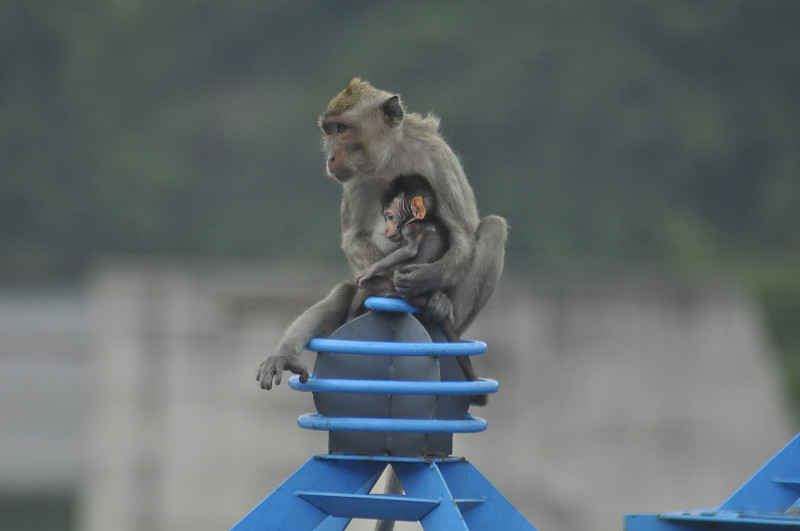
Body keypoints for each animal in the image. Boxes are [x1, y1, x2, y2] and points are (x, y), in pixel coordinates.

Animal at [358, 172, 488, 406]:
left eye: (390, 217)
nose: (387, 229)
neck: (422, 219)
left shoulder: (411, 229)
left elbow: (408, 251)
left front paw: (371, 270)